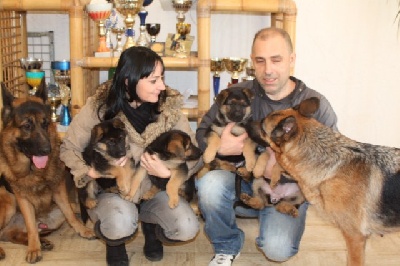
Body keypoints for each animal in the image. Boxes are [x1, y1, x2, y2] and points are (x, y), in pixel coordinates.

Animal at [0, 82, 95, 262]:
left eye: (45, 124)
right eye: (27, 126)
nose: (47, 150)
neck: (34, 172)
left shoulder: (59, 190)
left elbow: (70, 213)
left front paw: (83, 229)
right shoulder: (22, 199)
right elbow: (31, 227)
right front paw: (33, 249)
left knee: (9, 234)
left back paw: (43, 241)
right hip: (8, 202)